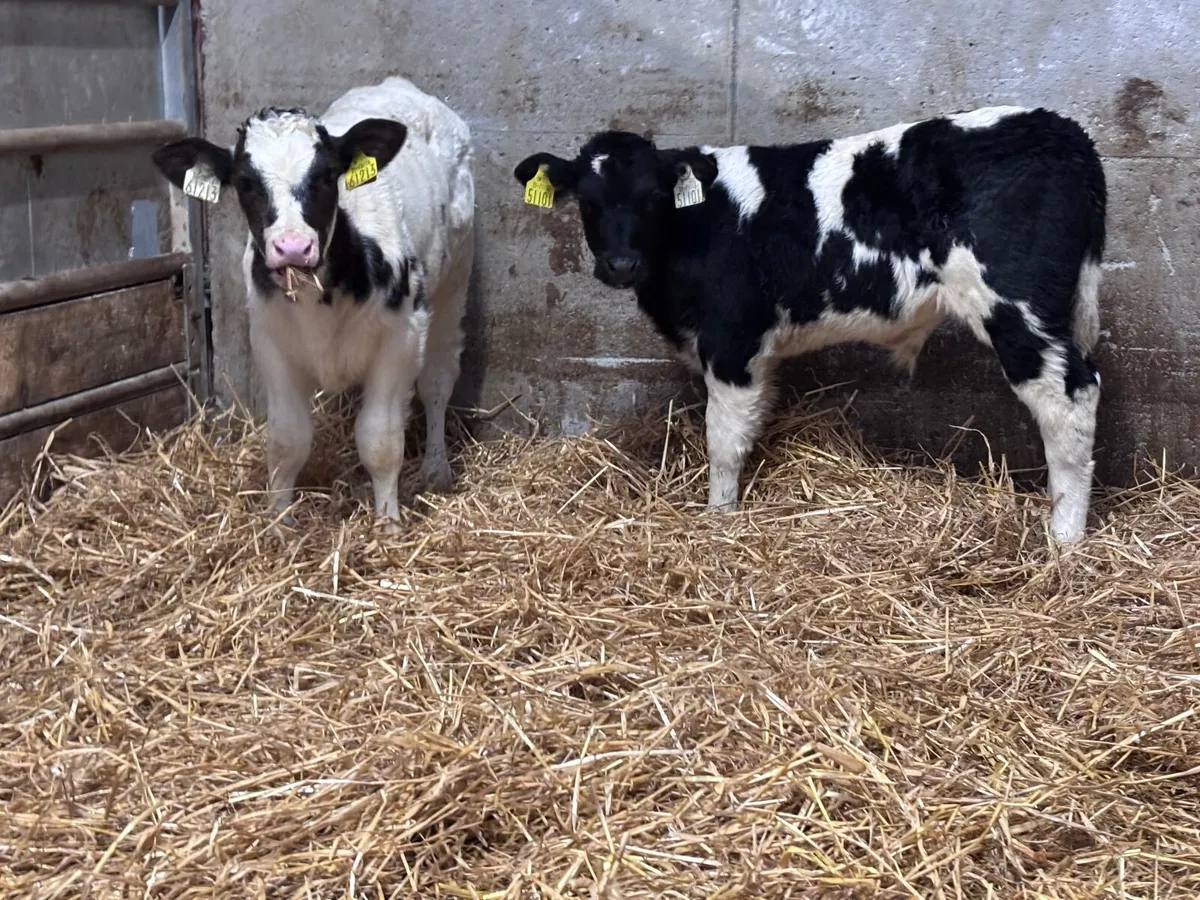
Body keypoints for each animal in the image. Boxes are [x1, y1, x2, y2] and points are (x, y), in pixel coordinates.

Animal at [151, 76, 474, 528]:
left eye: (325, 176)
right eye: (246, 183)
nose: (292, 247)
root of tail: (397, 85)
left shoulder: (402, 338)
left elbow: (380, 440)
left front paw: (387, 523)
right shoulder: (270, 341)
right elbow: (287, 440)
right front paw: (278, 523)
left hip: (454, 280)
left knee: (437, 382)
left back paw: (436, 468)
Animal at [515, 107, 1106, 542]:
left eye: (655, 197)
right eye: (588, 203)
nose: (621, 265)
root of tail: (1063, 130)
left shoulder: (732, 339)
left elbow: (722, 440)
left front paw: (719, 519)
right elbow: (752, 422)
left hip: (1017, 306)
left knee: (1070, 399)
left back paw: (1063, 541)